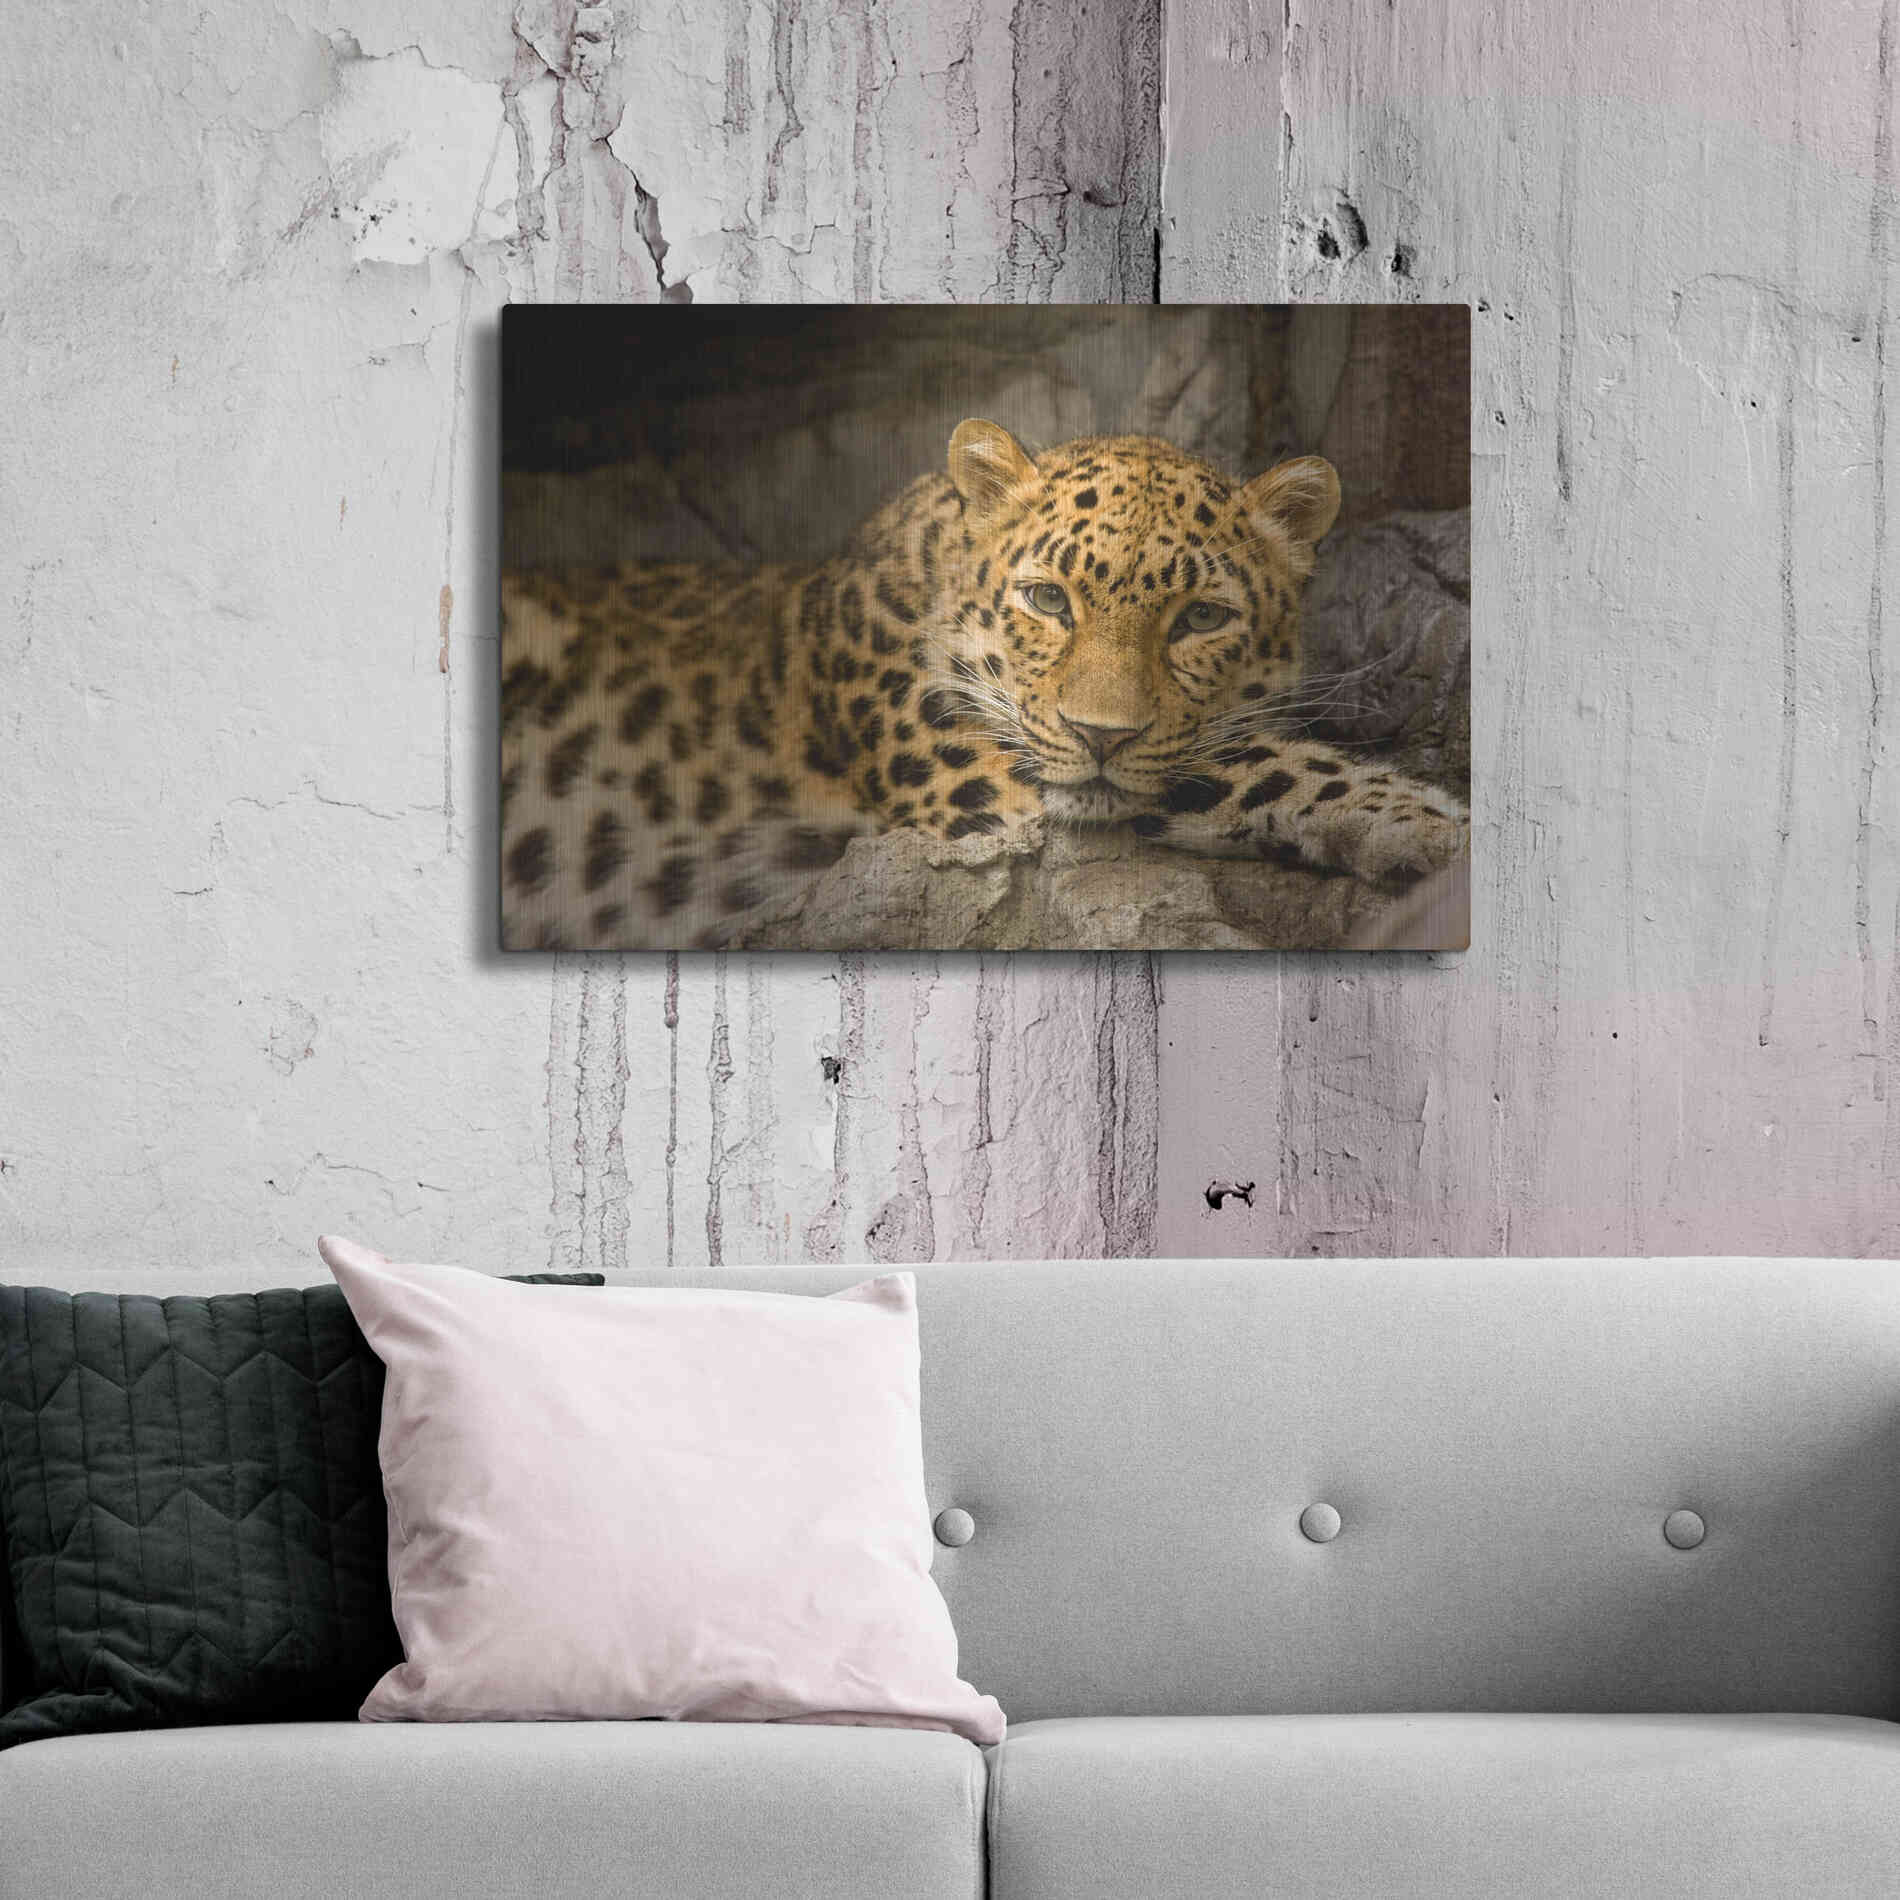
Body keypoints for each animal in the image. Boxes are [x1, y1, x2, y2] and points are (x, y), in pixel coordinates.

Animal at [499, 420, 1468, 950]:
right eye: (1048, 599)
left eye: (1201, 618)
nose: (1102, 734)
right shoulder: (990, 784)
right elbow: (1264, 763)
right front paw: (1432, 825)